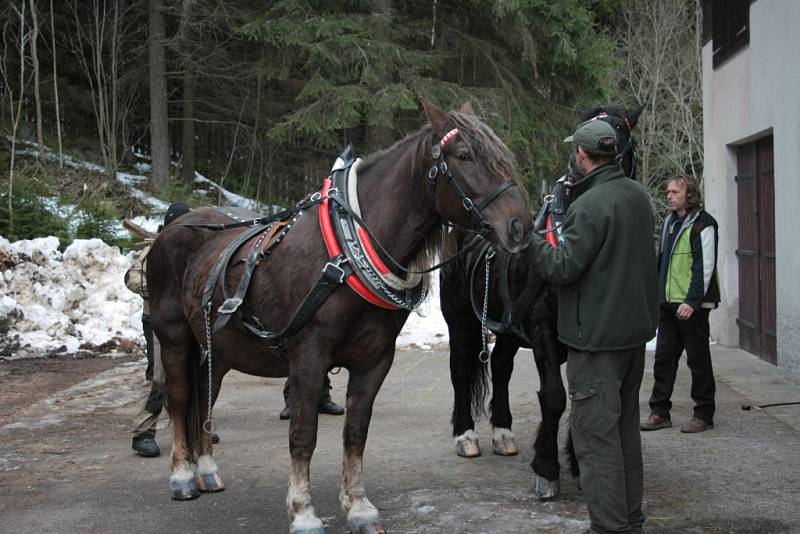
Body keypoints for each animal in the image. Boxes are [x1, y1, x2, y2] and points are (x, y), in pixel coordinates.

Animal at [147, 98, 536, 532]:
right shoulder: (308, 358)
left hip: (218, 349)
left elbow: (356, 432)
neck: (345, 256)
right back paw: (183, 475)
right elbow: (303, 435)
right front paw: (303, 511)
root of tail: (172, 229)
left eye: (504, 157)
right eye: (465, 155)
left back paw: (207, 470)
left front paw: (358, 506)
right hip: (175, 337)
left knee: (205, 399)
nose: (521, 226)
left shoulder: (374, 360)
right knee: (180, 398)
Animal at [440, 105, 640, 502]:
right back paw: (465, 435)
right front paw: (547, 468)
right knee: (460, 370)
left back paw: (503, 433)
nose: (579, 167)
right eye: (583, 128)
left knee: (501, 366)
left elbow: (581, 397)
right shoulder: (543, 328)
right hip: (461, 322)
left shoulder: (580, 339)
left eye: (622, 130)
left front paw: (577, 461)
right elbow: (554, 396)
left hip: (508, 328)